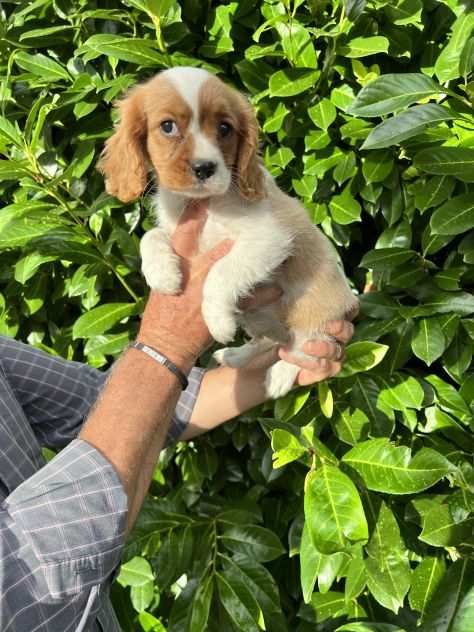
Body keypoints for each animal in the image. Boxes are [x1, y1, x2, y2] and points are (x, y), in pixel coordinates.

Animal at [101, 66, 360, 398]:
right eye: (168, 127)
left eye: (224, 128)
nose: (204, 168)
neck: (203, 203)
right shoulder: (175, 228)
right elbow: (151, 236)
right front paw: (163, 275)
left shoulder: (268, 239)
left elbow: (221, 272)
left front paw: (218, 322)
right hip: (259, 320)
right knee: (270, 342)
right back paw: (236, 357)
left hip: (316, 314)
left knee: (305, 347)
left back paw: (279, 375)